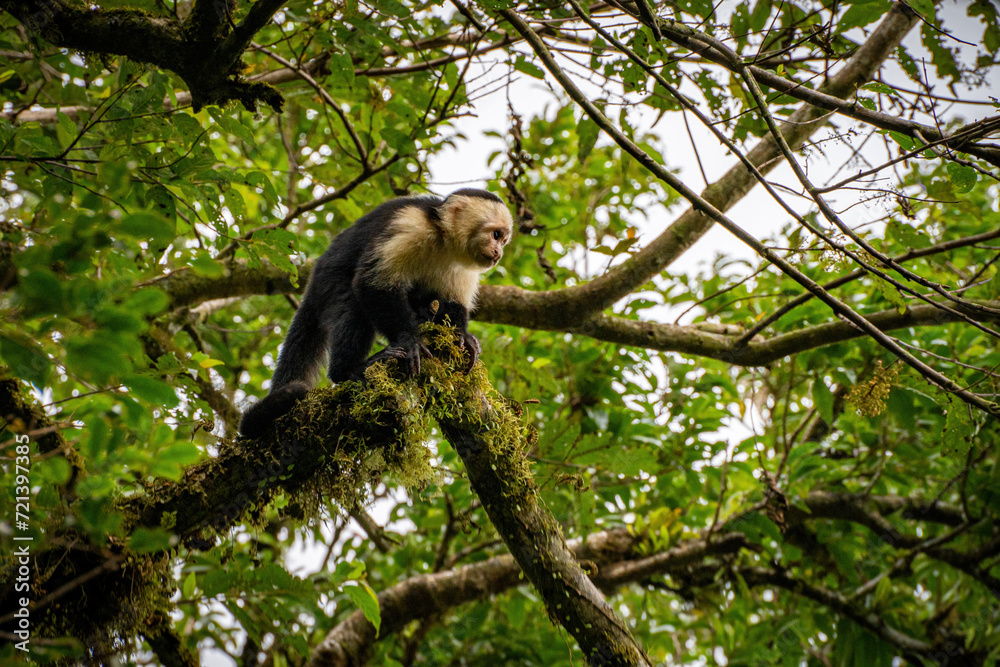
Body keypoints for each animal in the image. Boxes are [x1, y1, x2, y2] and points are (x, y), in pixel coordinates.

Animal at [238, 188, 512, 438]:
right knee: (352, 303)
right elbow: (373, 284)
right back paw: (348, 370)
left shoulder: (463, 263)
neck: (444, 240)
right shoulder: (410, 225)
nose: (499, 254)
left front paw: (461, 336)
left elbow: (453, 304)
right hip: (329, 281)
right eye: (495, 234)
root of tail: (312, 285)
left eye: (503, 240)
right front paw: (409, 341)